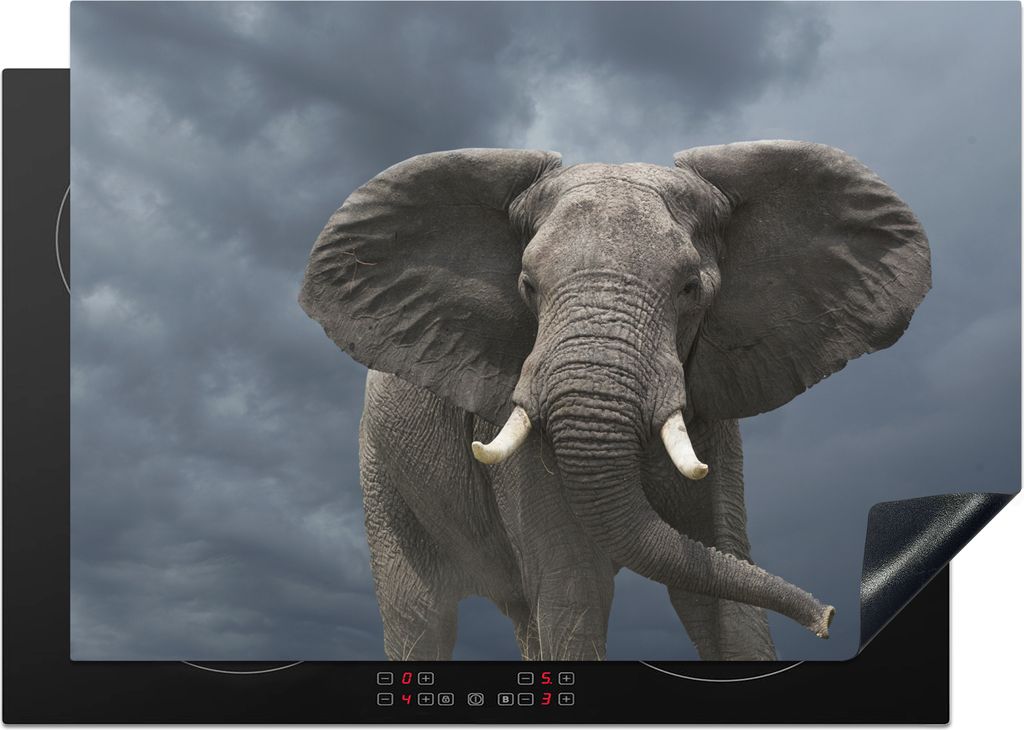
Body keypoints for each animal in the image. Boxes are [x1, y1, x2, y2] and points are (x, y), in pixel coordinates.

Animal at [299, 142, 930, 661]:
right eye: (527, 286)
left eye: (691, 289)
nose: (828, 618)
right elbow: (576, 587)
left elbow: (720, 582)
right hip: (381, 473)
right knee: (421, 618)